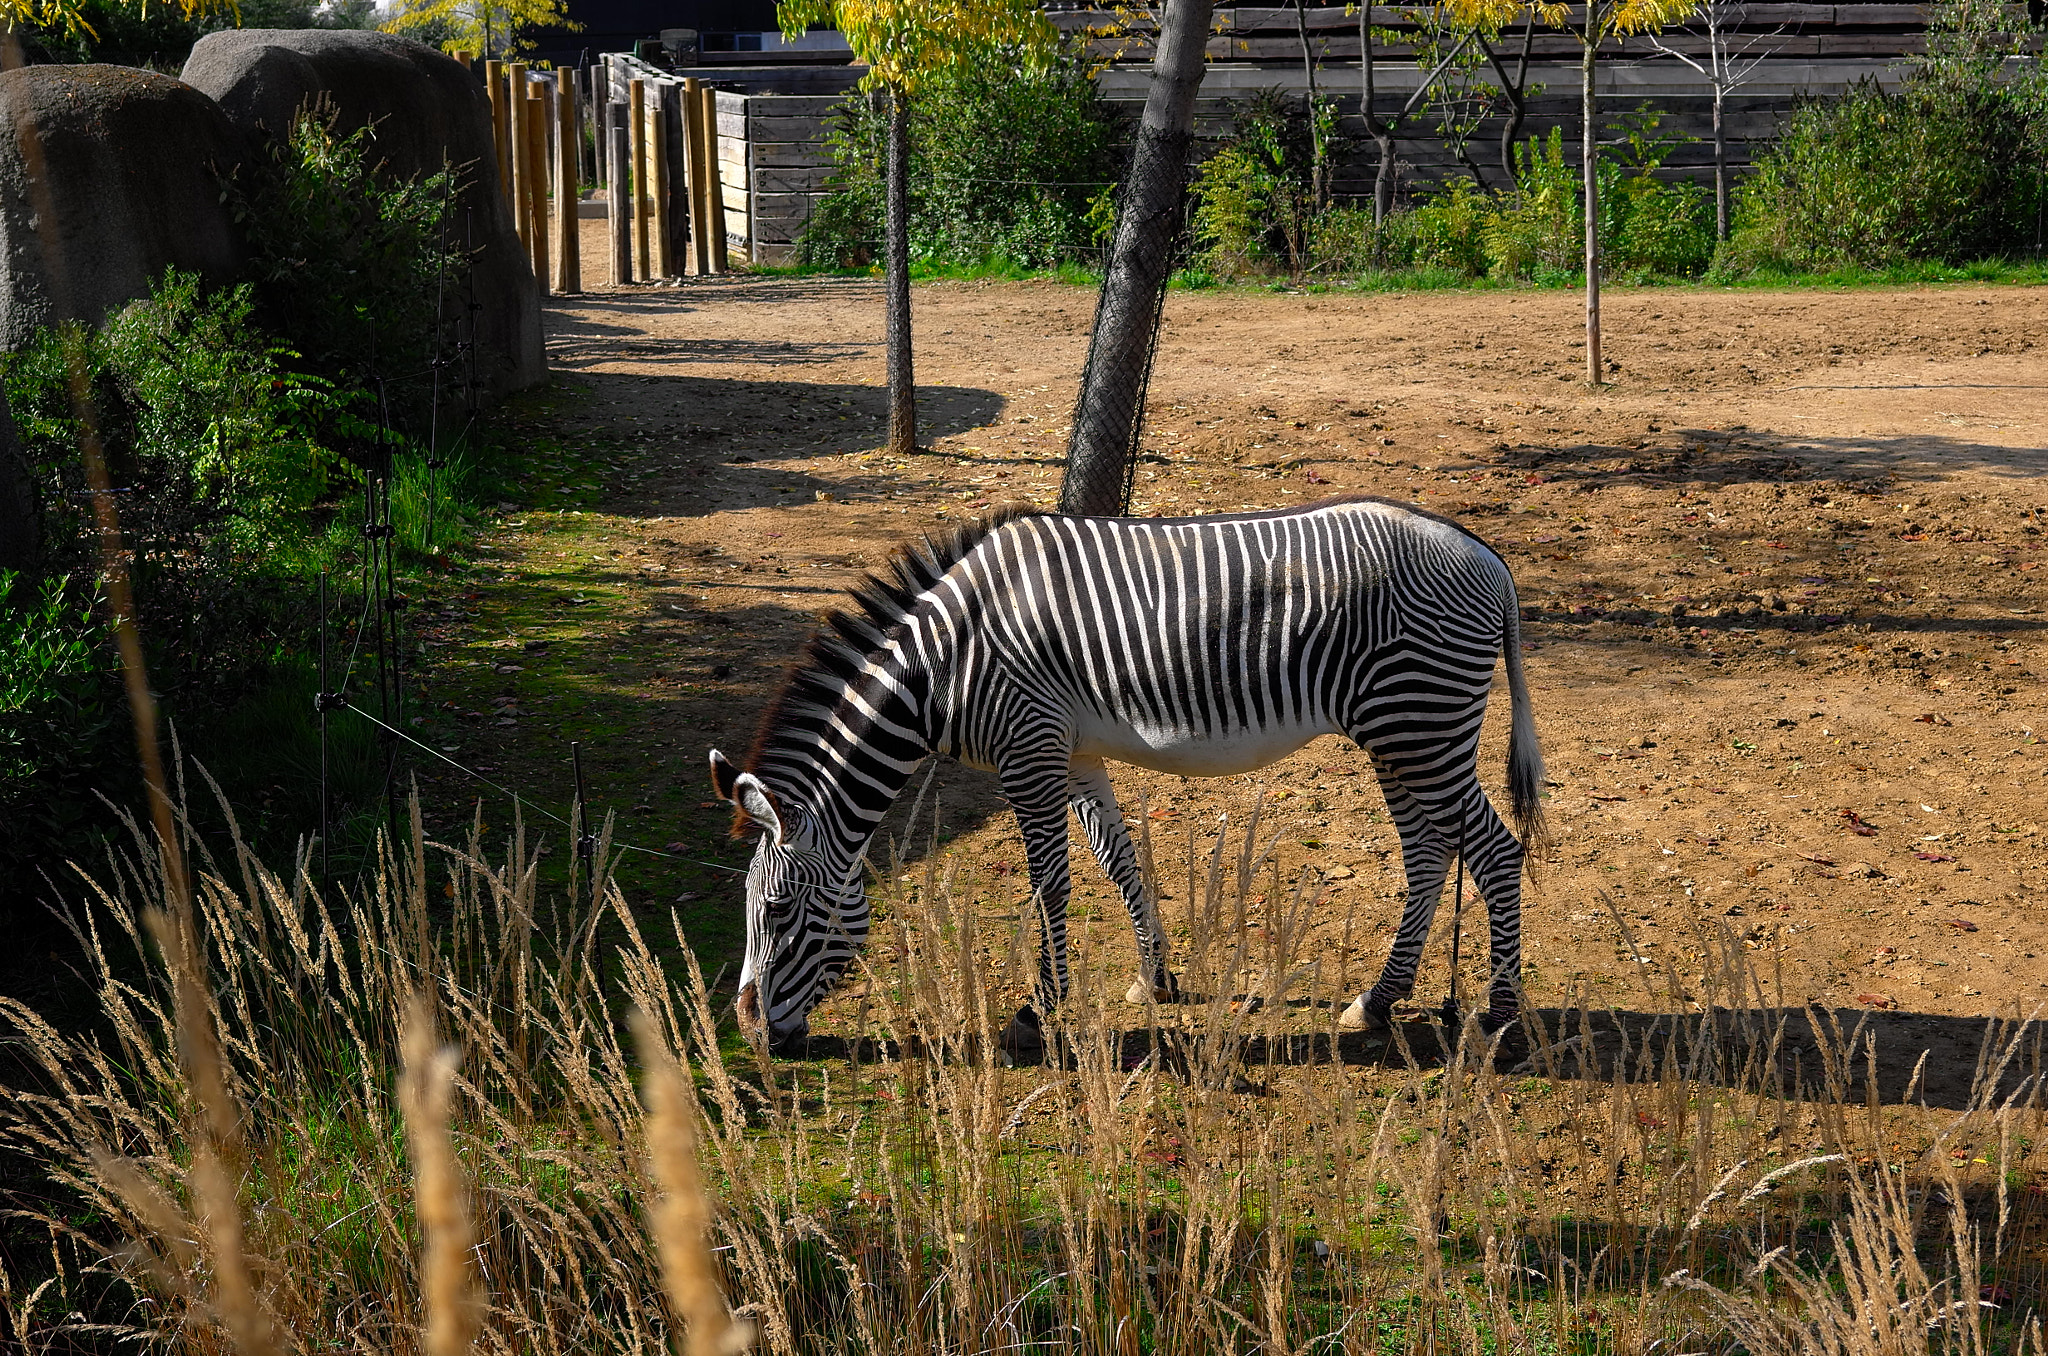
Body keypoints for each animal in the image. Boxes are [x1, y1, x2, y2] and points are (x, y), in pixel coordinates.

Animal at [712, 499, 1540, 1065]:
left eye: (778, 911)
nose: (748, 1032)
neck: (942, 667)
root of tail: (1490, 559)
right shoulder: (1072, 750)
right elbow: (1117, 862)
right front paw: (1156, 977)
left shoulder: (1028, 746)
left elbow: (1050, 883)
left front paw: (1033, 1014)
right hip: (1399, 734)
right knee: (1430, 853)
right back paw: (1377, 1000)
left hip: (1418, 723)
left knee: (1495, 852)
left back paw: (1498, 1018)